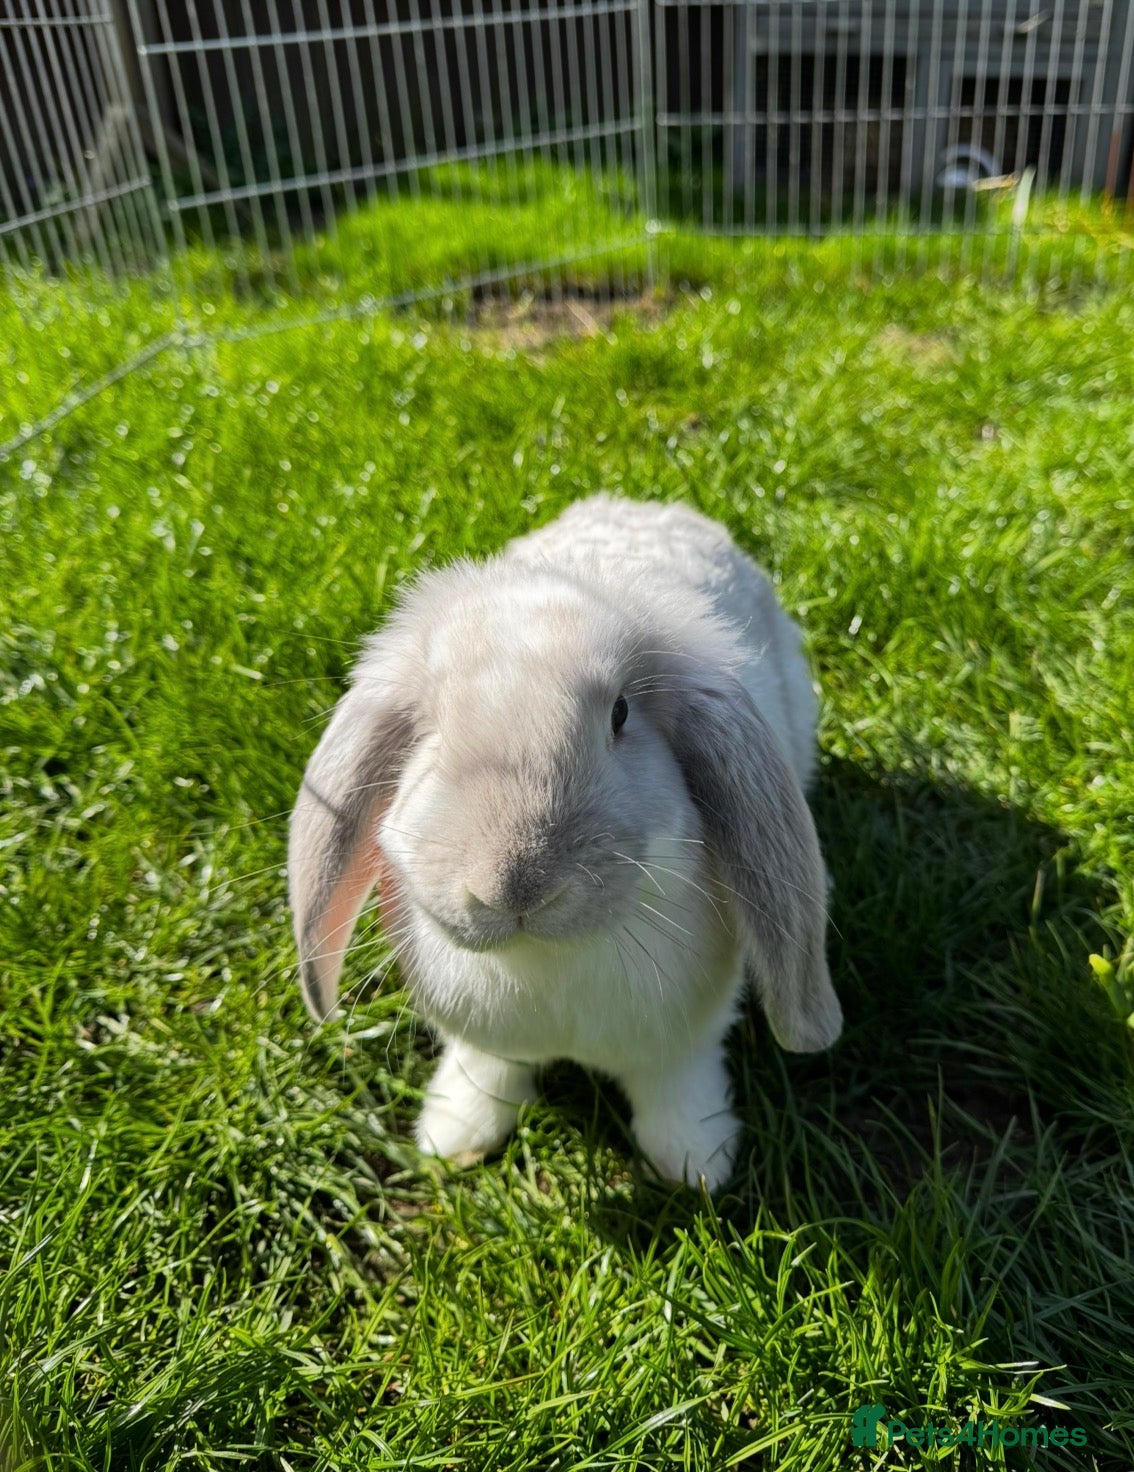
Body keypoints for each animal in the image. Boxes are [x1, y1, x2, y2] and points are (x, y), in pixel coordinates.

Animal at [288, 495, 842, 1191]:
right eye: (429, 731)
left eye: (621, 714)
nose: (515, 885)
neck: (542, 961)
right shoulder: (484, 1039)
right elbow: (486, 1070)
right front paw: (453, 1138)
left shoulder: (682, 1039)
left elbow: (678, 1088)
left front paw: (695, 1166)